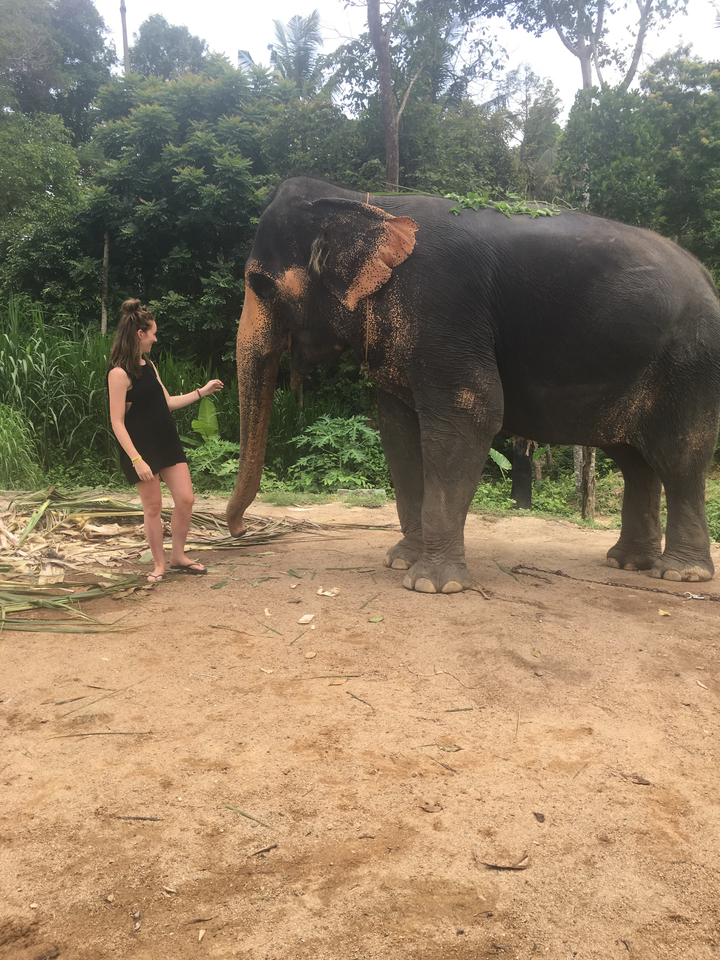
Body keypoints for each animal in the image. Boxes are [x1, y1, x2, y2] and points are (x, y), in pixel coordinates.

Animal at [227, 176, 720, 593]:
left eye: (259, 284)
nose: (241, 531)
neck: (362, 200)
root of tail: (706, 275)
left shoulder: (444, 305)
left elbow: (473, 412)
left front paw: (432, 585)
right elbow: (398, 432)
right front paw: (401, 561)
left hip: (689, 361)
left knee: (678, 456)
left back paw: (681, 574)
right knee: (633, 459)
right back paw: (628, 563)